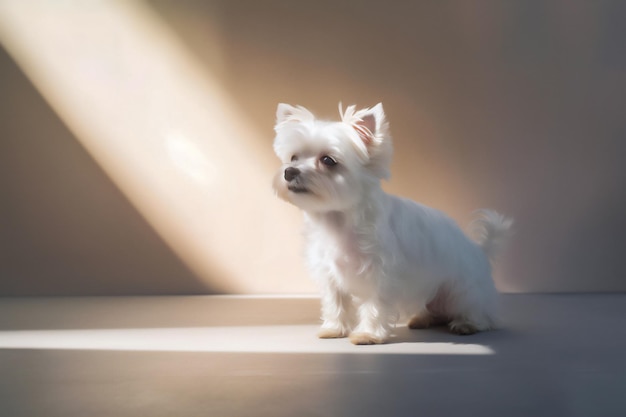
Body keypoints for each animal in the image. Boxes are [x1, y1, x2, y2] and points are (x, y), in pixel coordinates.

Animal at [270, 102, 510, 342]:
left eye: (328, 160)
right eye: (293, 158)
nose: (289, 171)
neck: (338, 220)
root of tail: (480, 249)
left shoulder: (381, 273)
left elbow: (374, 303)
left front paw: (367, 334)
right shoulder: (330, 274)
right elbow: (335, 302)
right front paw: (334, 328)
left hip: (462, 290)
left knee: (479, 311)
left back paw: (467, 324)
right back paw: (421, 319)